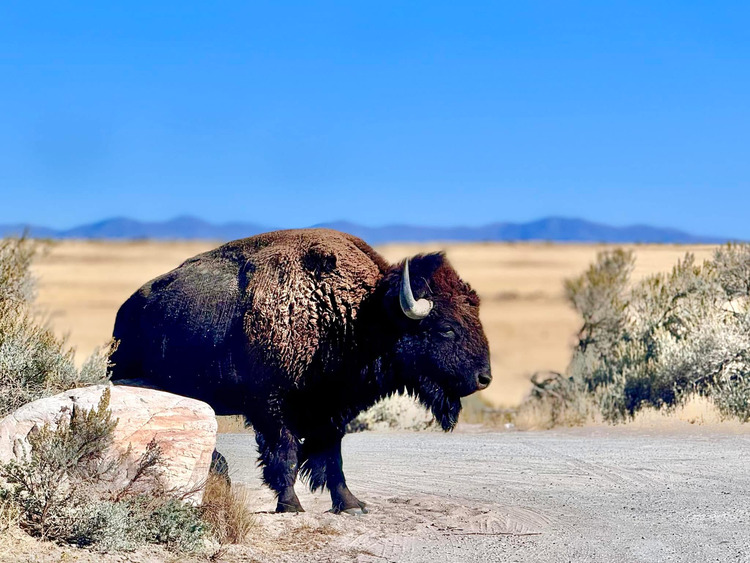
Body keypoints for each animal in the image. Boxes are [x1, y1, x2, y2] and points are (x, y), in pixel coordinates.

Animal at [108, 230, 490, 516]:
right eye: (446, 328)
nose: (483, 378)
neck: (351, 312)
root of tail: (127, 308)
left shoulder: (332, 410)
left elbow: (331, 457)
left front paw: (351, 505)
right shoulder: (272, 407)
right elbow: (286, 453)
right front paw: (290, 505)